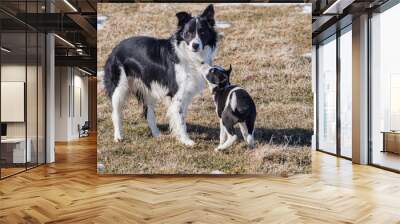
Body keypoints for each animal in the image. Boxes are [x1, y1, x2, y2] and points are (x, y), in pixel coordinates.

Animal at [102, 5, 216, 146]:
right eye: (188, 33)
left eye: (203, 32)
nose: (195, 45)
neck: (189, 55)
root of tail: (115, 49)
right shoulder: (177, 94)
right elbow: (180, 120)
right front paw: (186, 141)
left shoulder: (185, 94)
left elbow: (181, 117)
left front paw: (180, 137)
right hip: (119, 88)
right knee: (116, 113)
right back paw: (118, 136)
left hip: (148, 88)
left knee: (149, 113)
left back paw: (157, 134)